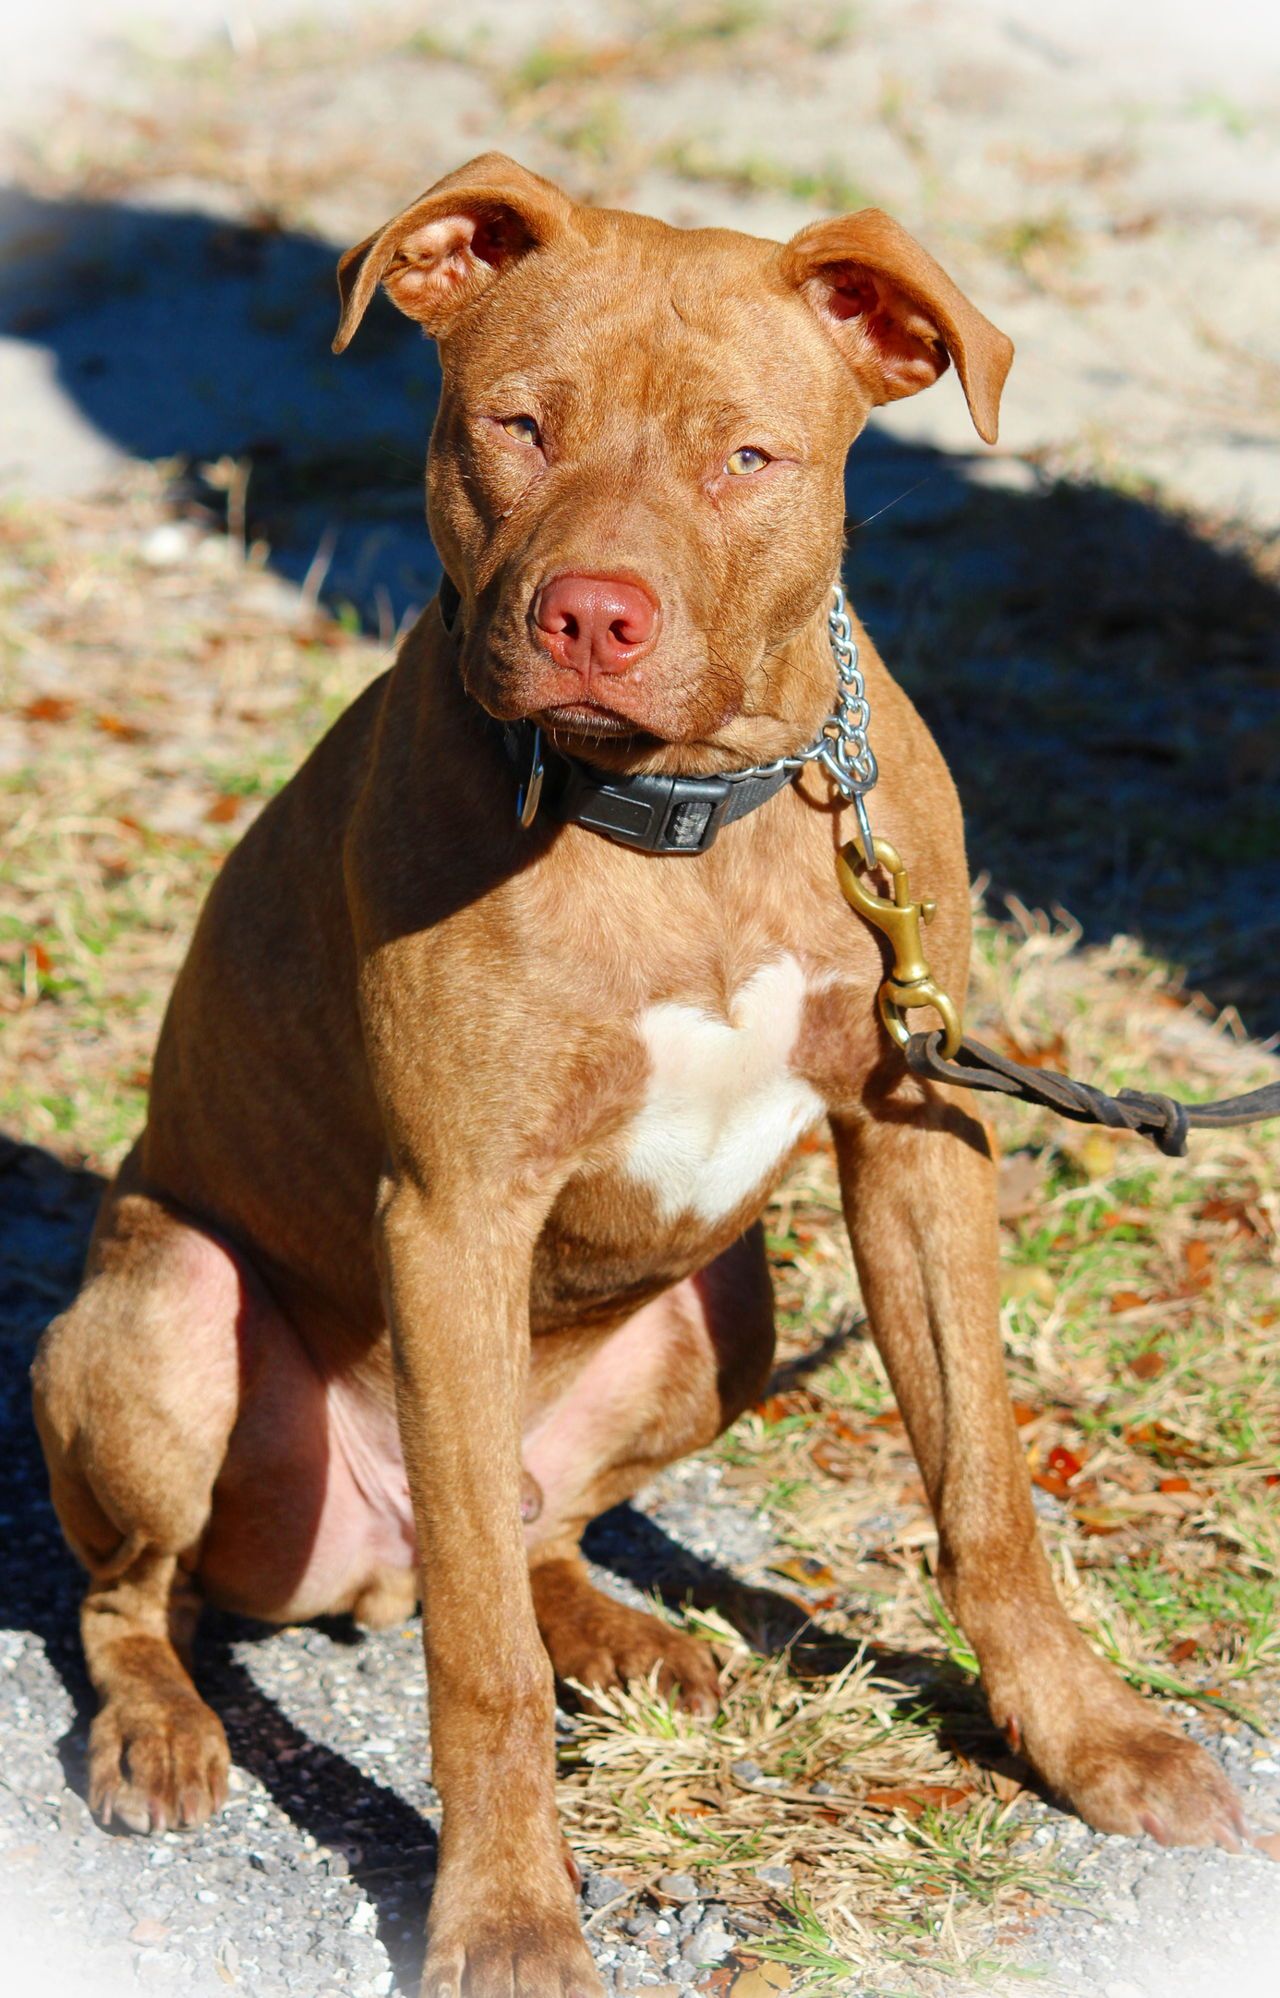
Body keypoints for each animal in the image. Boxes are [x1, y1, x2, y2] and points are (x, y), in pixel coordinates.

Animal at [34, 159, 1246, 1998]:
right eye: (518, 426)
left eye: (745, 457)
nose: (592, 614)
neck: (684, 814)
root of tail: (357, 1567)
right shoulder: (453, 1213)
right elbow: (478, 1660)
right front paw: (509, 1912)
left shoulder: (916, 1137)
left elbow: (983, 1489)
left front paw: (1089, 1737)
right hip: (169, 1313)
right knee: (163, 1593)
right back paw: (162, 1728)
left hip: (724, 1311)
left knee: (530, 1525)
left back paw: (625, 1632)